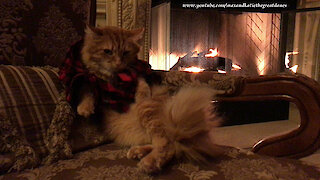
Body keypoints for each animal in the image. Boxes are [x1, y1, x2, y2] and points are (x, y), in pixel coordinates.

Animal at [76, 26, 224, 174]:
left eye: (125, 52)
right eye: (107, 51)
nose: (118, 63)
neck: (115, 80)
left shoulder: (138, 77)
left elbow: (141, 84)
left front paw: (141, 94)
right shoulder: (91, 80)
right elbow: (88, 90)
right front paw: (84, 108)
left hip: (147, 113)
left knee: (167, 145)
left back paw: (148, 162)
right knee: (164, 144)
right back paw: (138, 151)